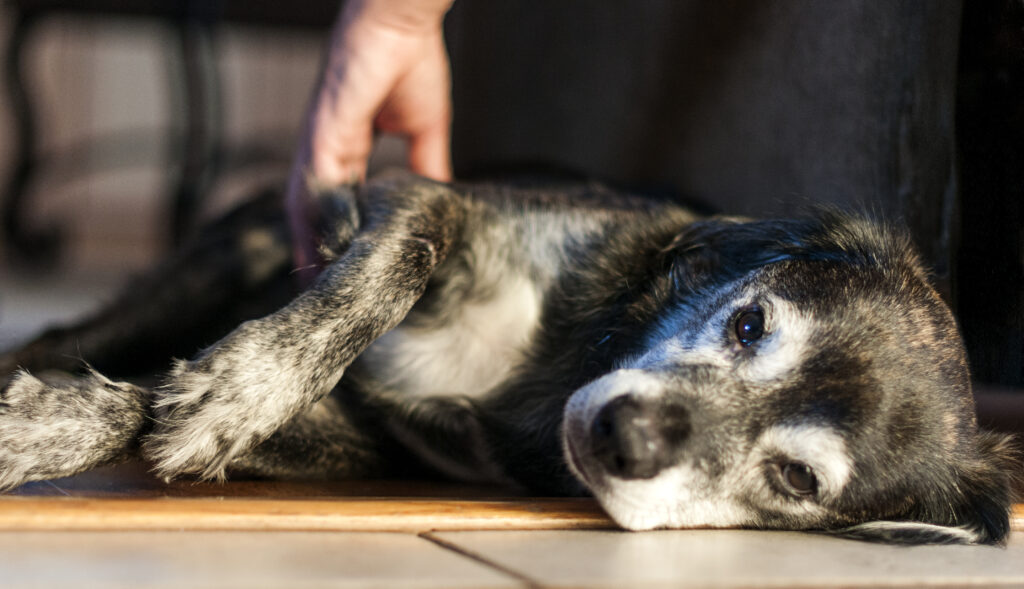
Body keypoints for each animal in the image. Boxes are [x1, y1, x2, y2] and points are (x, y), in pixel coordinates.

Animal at [0, 173, 1015, 544]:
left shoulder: (366, 442)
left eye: (799, 478)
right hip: (227, 254)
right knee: (70, 338)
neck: (556, 368)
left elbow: (150, 404)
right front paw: (236, 389)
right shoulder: (417, 196)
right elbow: (386, 272)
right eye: (750, 324)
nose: (621, 435)